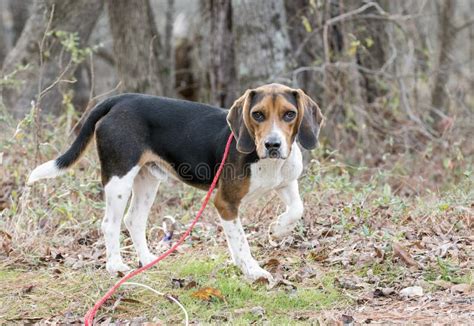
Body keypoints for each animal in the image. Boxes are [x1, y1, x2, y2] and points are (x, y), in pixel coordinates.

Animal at [27, 83, 324, 282]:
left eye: (289, 114)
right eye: (258, 114)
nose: (273, 145)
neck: (267, 161)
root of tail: (122, 99)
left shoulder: (287, 182)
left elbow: (297, 209)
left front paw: (278, 229)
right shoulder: (225, 203)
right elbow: (240, 242)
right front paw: (253, 270)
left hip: (147, 179)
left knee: (134, 220)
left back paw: (147, 260)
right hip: (119, 177)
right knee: (110, 223)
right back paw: (116, 266)